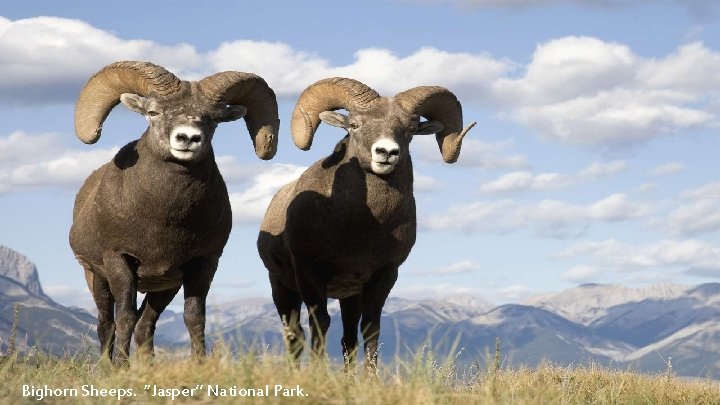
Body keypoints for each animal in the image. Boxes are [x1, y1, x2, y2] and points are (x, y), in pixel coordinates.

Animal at [69, 61, 278, 364]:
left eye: (213, 119)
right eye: (153, 112)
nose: (187, 138)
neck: (163, 220)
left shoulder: (201, 264)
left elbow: (194, 317)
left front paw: (200, 364)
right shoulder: (118, 260)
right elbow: (124, 317)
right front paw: (121, 367)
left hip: (164, 288)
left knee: (146, 325)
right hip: (96, 278)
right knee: (106, 323)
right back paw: (107, 366)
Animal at [256, 77, 476, 368]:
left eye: (409, 130)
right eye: (354, 125)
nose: (386, 152)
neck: (361, 229)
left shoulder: (383, 276)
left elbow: (370, 329)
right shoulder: (308, 273)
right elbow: (320, 323)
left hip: (349, 297)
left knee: (348, 339)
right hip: (281, 287)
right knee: (295, 336)